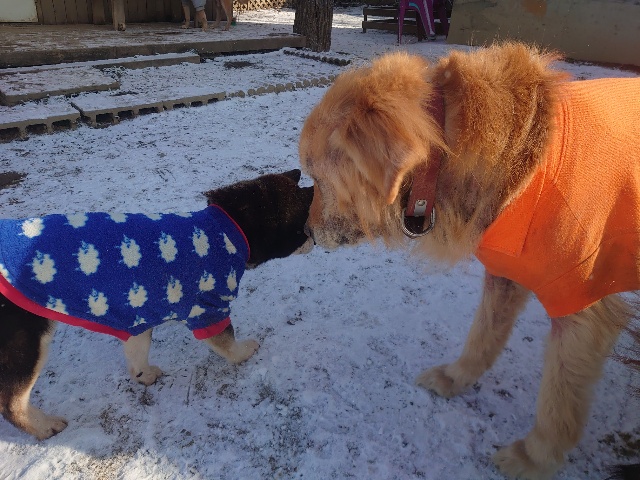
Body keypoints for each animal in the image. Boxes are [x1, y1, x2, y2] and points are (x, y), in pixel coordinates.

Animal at [0, 169, 313, 440]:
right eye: (304, 229)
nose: (315, 240)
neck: (230, 228)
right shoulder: (209, 309)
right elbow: (227, 342)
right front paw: (244, 351)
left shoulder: (139, 314)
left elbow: (138, 350)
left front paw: (143, 375)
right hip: (25, 343)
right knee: (12, 403)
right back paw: (44, 426)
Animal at [298, 43, 640, 479]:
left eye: (317, 177)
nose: (306, 233)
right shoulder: (507, 272)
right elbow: (482, 339)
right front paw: (454, 379)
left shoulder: (581, 305)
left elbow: (558, 401)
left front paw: (535, 457)